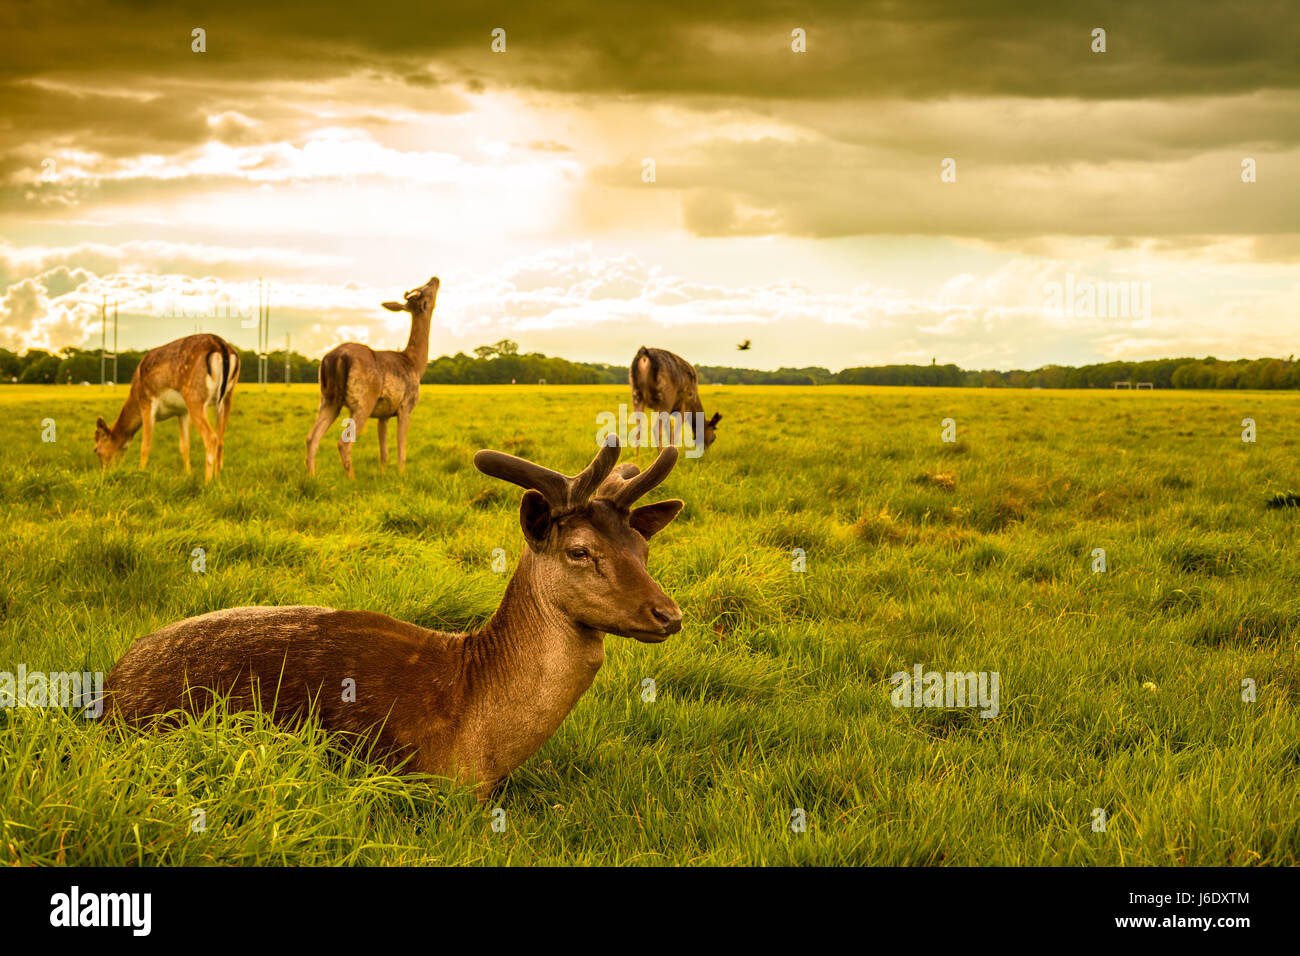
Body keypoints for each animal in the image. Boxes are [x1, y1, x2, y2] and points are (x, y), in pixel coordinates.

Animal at [96, 335, 241, 486]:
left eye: (96, 450)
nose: (104, 473)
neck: (135, 397)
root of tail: (221, 346)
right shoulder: (183, 412)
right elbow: (184, 446)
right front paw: (188, 475)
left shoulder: (146, 402)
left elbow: (145, 446)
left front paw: (140, 474)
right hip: (227, 397)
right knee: (220, 440)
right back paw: (218, 481)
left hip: (194, 396)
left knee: (211, 437)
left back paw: (207, 482)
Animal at [305, 274, 441, 476]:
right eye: (426, 290)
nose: (435, 278)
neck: (415, 364)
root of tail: (335, 358)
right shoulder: (406, 405)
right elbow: (401, 450)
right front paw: (401, 475)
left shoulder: (383, 414)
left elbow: (384, 452)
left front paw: (382, 474)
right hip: (363, 400)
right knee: (343, 443)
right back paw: (351, 479)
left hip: (328, 399)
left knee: (311, 438)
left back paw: (312, 477)